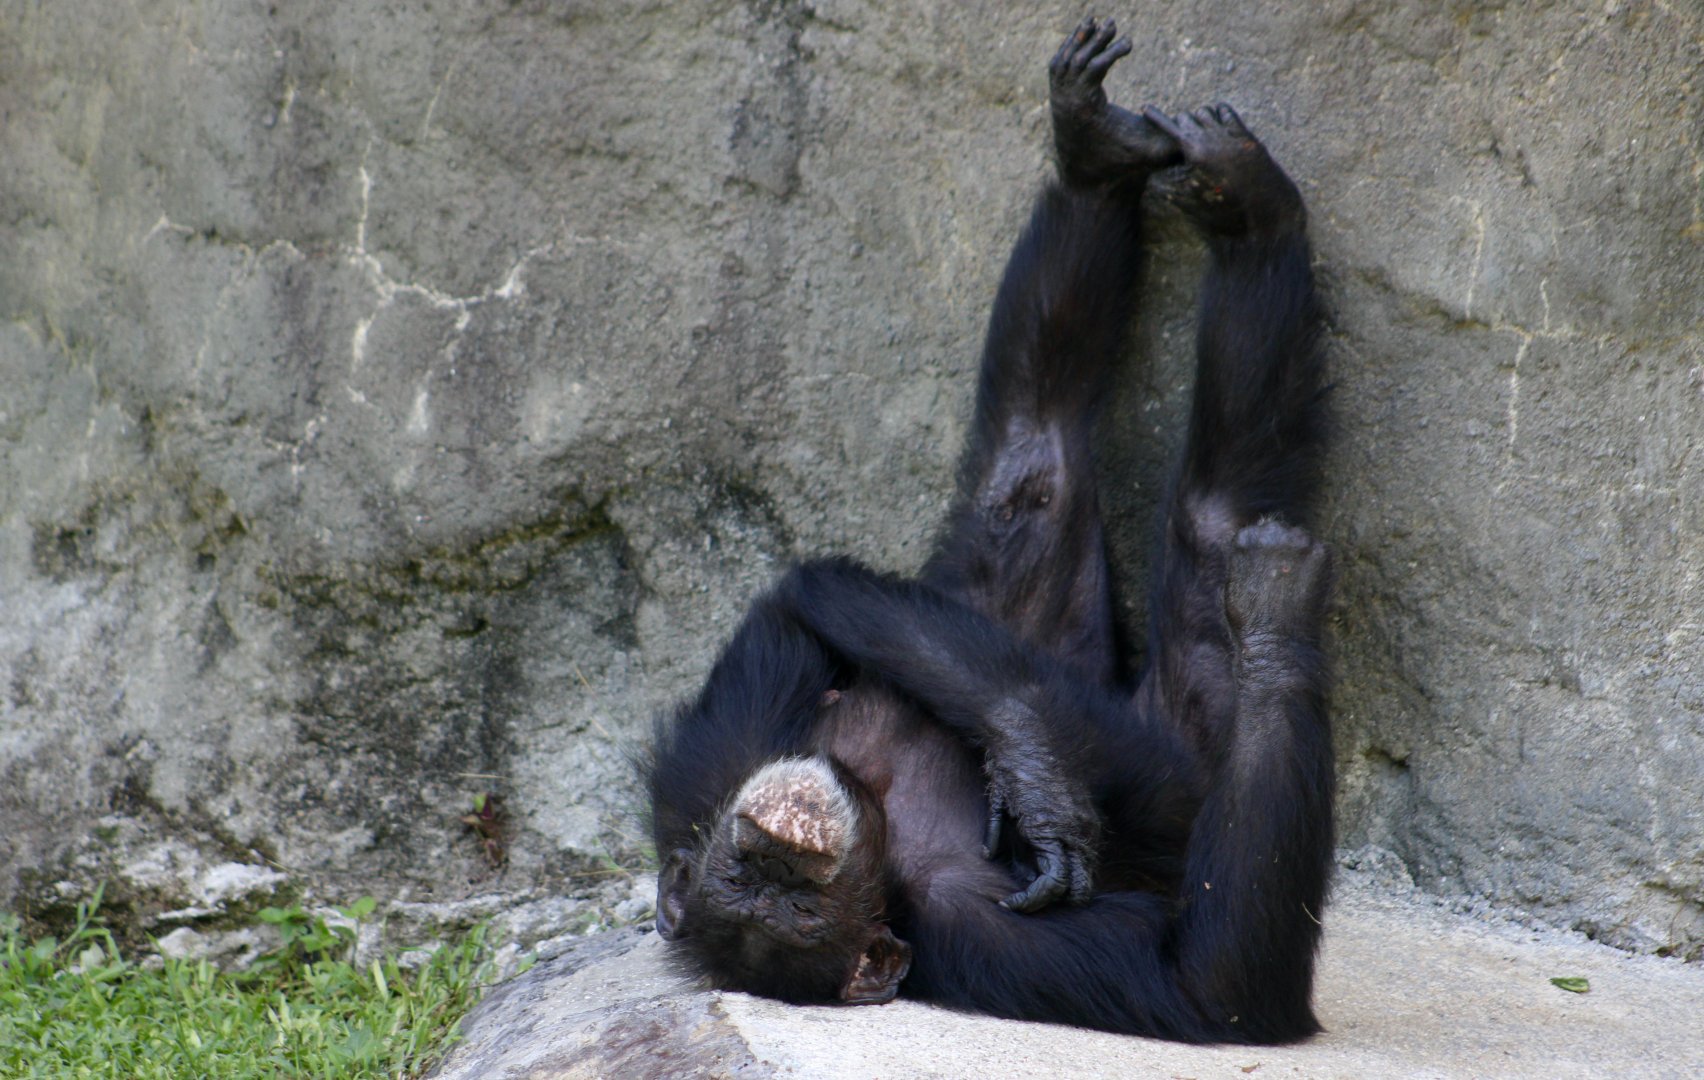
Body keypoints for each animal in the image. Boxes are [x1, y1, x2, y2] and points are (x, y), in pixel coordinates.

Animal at [644, 15, 1333, 1043]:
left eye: (761, 877)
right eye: (778, 905)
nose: (776, 853)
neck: (880, 831)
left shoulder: (724, 750)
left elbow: (804, 592)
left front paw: (1034, 768)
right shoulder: (979, 935)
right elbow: (1215, 987)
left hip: (1001, 586)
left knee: (1031, 440)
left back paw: (1124, 160)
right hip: (1179, 697)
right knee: (1212, 515)